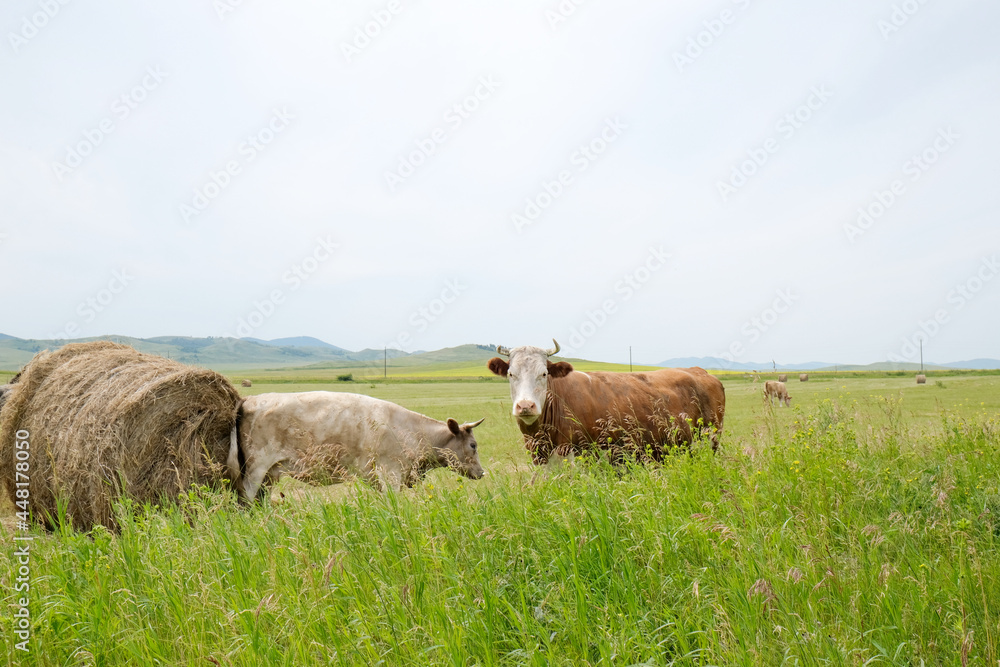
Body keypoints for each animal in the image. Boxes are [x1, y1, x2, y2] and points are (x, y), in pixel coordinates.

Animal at [230, 391, 485, 500]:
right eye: (473, 445)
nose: (482, 473)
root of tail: (250, 399)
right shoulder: (390, 473)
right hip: (255, 469)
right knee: (247, 498)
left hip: (270, 474)